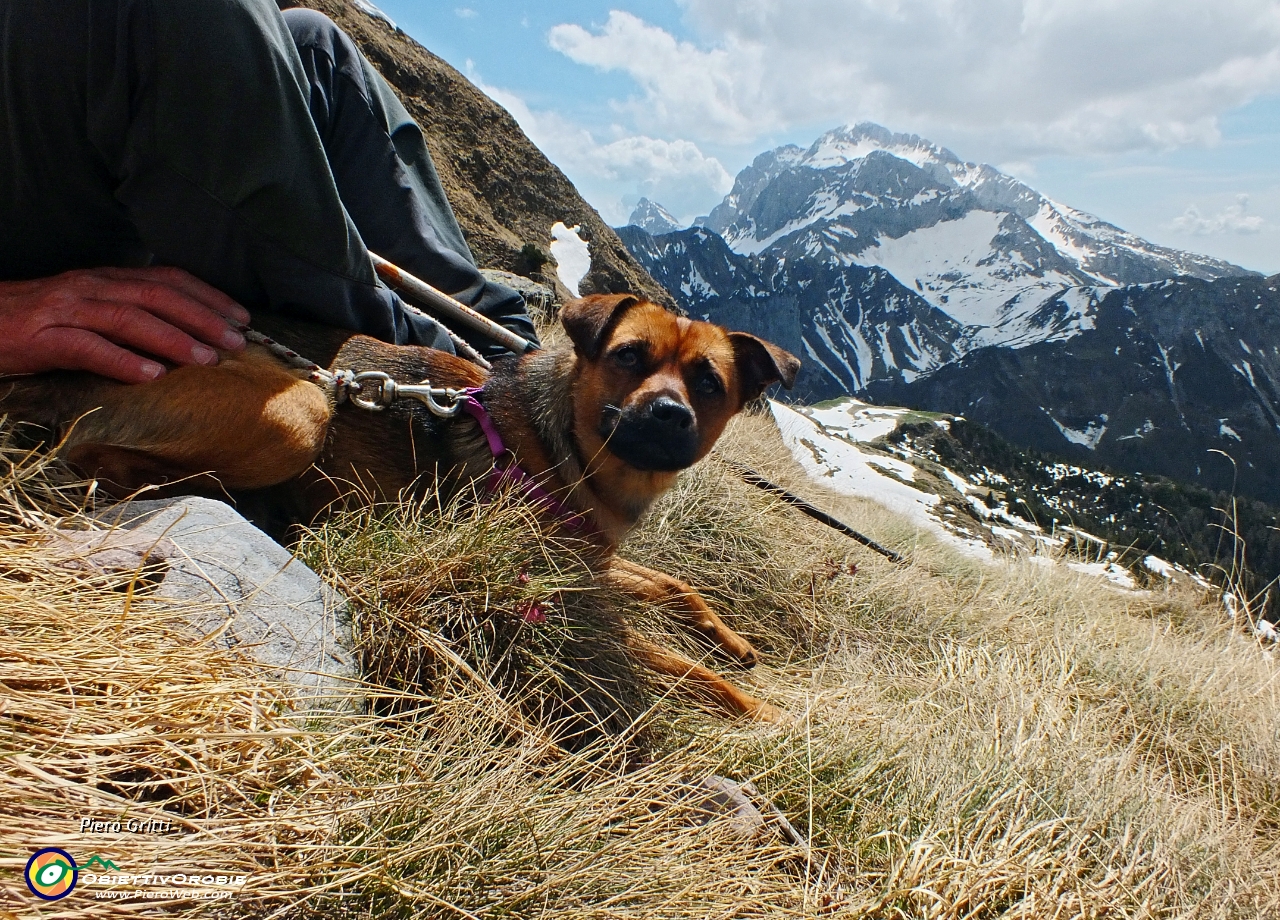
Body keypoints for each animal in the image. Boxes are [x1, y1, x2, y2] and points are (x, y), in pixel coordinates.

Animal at [0, 295, 798, 721]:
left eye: (708, 381)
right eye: (630, 356)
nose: (667, 415)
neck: (569, 446)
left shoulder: (592, 566)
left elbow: (675, 586)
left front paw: (733, 641)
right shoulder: (563, 605)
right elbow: (681, 665)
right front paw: (759, 708)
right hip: (301, 410)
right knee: (99, 460)